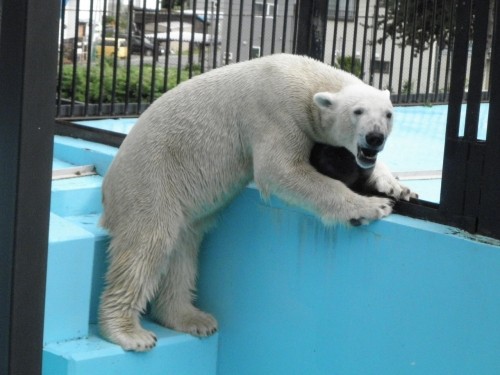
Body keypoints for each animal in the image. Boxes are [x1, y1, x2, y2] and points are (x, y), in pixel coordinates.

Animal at [99, 53, 416, 352]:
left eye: (388, 114)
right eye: (357, 111)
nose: (374, 138)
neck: (307, 77)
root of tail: (108, 187)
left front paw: (399, 188)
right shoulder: (277, 113)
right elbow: (282, 170)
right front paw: (372, 206)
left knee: (183, 249)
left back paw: (192, 318)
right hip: (152, 179)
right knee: (149, 244)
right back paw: (130, 332)